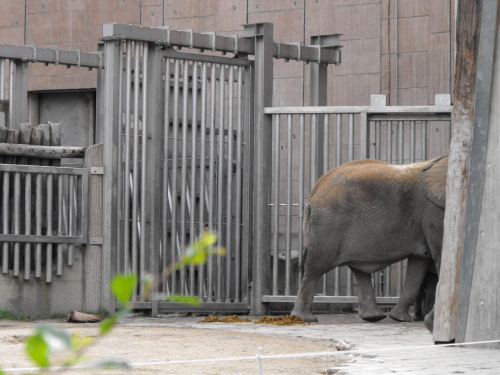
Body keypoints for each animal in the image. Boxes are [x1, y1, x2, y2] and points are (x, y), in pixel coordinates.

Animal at [292, 156, 448, 328]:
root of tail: (314, 193)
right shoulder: (435, 212)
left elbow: (419, 264)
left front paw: (399, 319)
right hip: (328, 224)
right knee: (316, 268)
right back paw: (304, 318)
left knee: (358, 270)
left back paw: (375, 317)